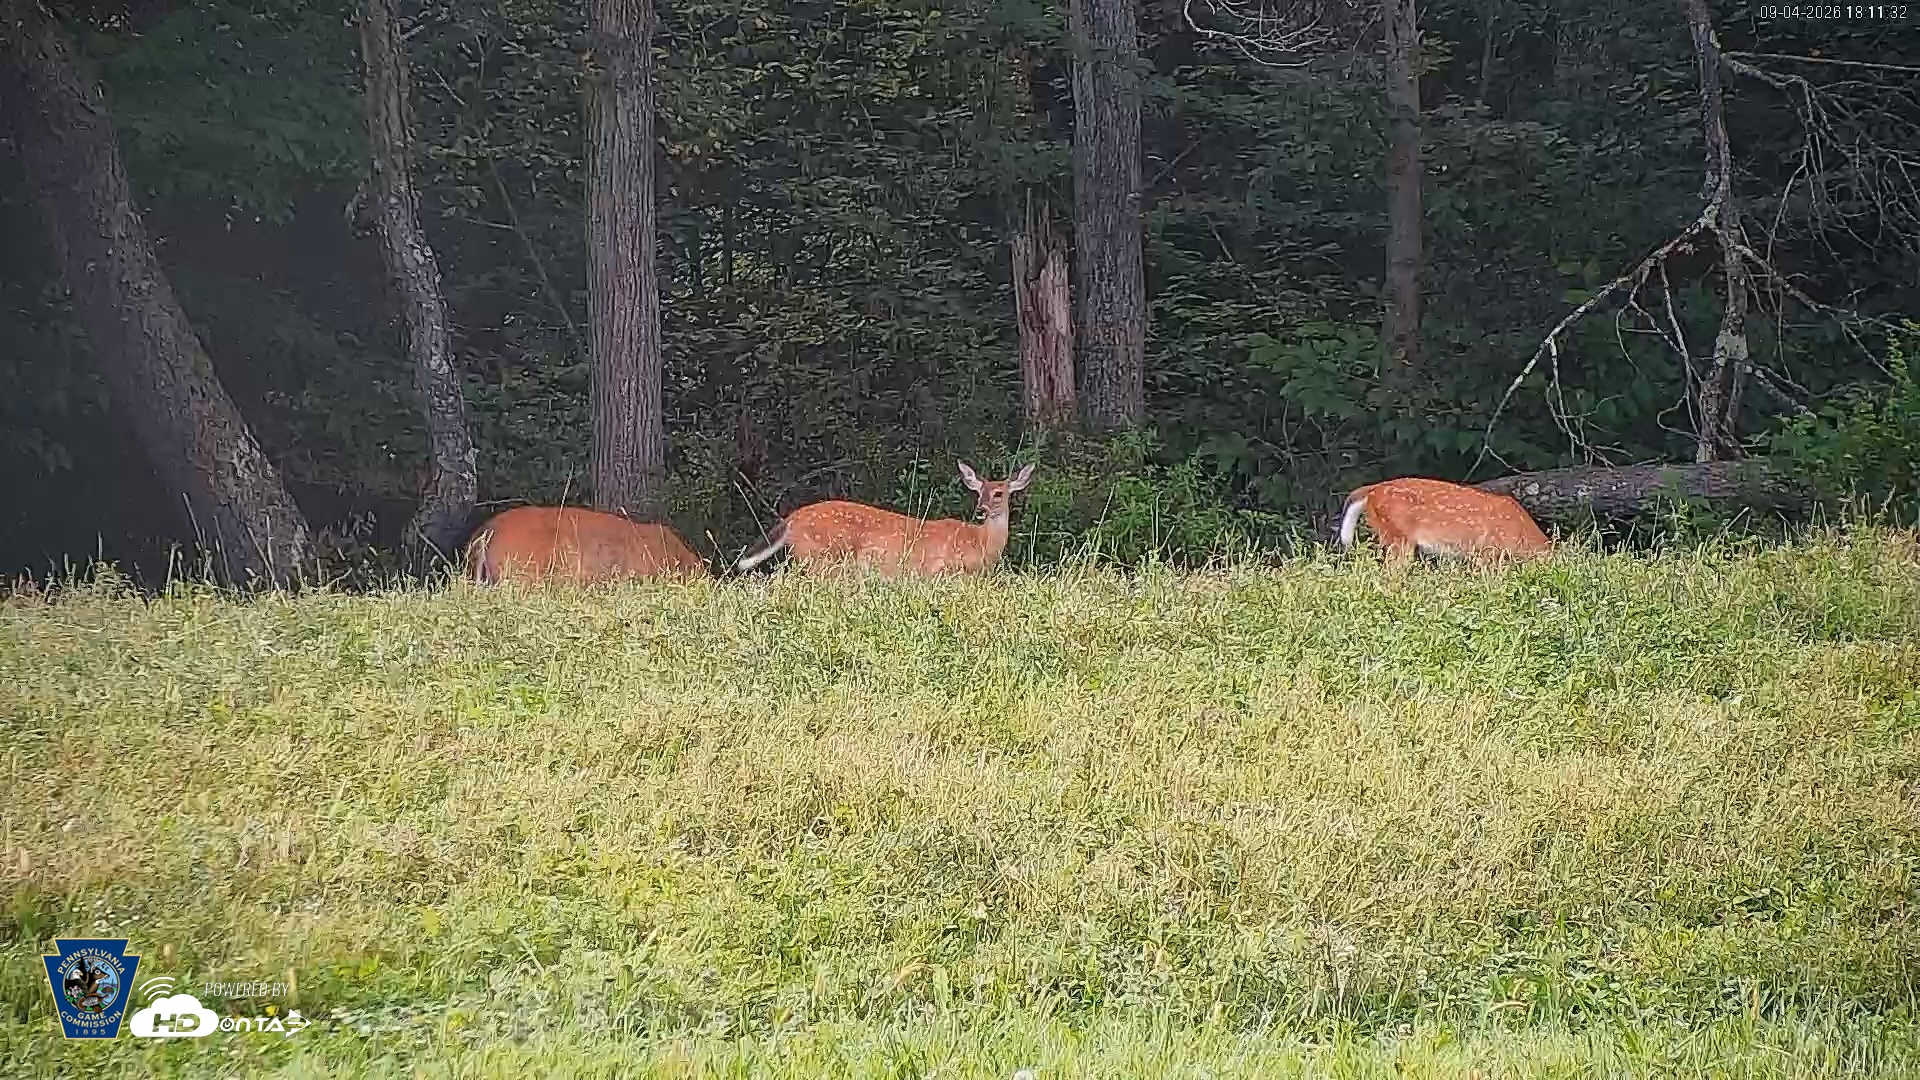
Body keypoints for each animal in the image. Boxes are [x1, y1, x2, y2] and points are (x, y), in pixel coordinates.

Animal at [734, 462, 1037, 578]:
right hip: (821, 557)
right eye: (979, 492)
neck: (981, 542)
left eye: (999, 493)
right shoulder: (943, 570)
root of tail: (791, 520)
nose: (981, 510)